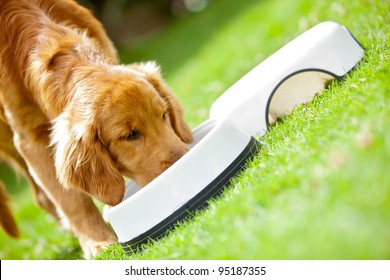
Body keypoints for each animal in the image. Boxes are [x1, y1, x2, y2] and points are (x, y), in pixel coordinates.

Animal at [0, 0, 193, 258]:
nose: (186, 165)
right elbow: (72, 200)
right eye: (129, 135)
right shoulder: (29, 139)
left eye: (163, 115)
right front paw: (97, 241)